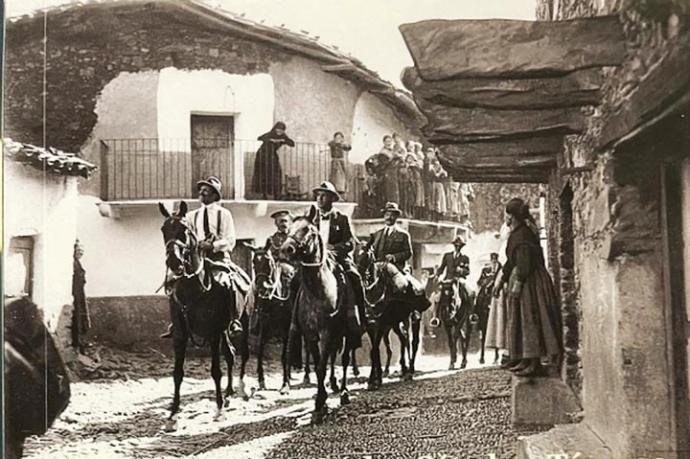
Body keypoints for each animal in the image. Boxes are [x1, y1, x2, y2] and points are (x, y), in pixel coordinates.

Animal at [157, 203, 243, 430]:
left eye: (184, 230)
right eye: (163, 230)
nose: (174, 262)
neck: (193, 289)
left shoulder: (214, 332)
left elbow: (215, 371)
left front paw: (219, 409)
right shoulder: (180, 334)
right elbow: (177, 373)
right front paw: (173, 412)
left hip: (230, 327)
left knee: (231, 355)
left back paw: (229, 395)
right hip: (223, 332)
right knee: (230, 353)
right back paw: (229, 392)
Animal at [278, 207, 358, 422]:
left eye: (308, 230)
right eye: (291, 228)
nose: (286, 249)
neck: (318, 290)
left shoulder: (327, 333)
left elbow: (322, 365)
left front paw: (321, 403)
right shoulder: (310, 334)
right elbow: (318, 365)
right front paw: (320, 402)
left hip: (347, 333)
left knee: (344, 359)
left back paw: (344, 392)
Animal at [354, 244, 430, 392]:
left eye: (366, 256)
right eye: (353, 254)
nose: (357, 275)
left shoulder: (379, 325)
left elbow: (375, 350)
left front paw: (375, 380)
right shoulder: (371, 326)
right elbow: (374, 351)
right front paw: (375, 379)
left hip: (413, 319)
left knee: (412, 341)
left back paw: (410, 370)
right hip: (395, 324)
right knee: (403, 339)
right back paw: (403, 369)